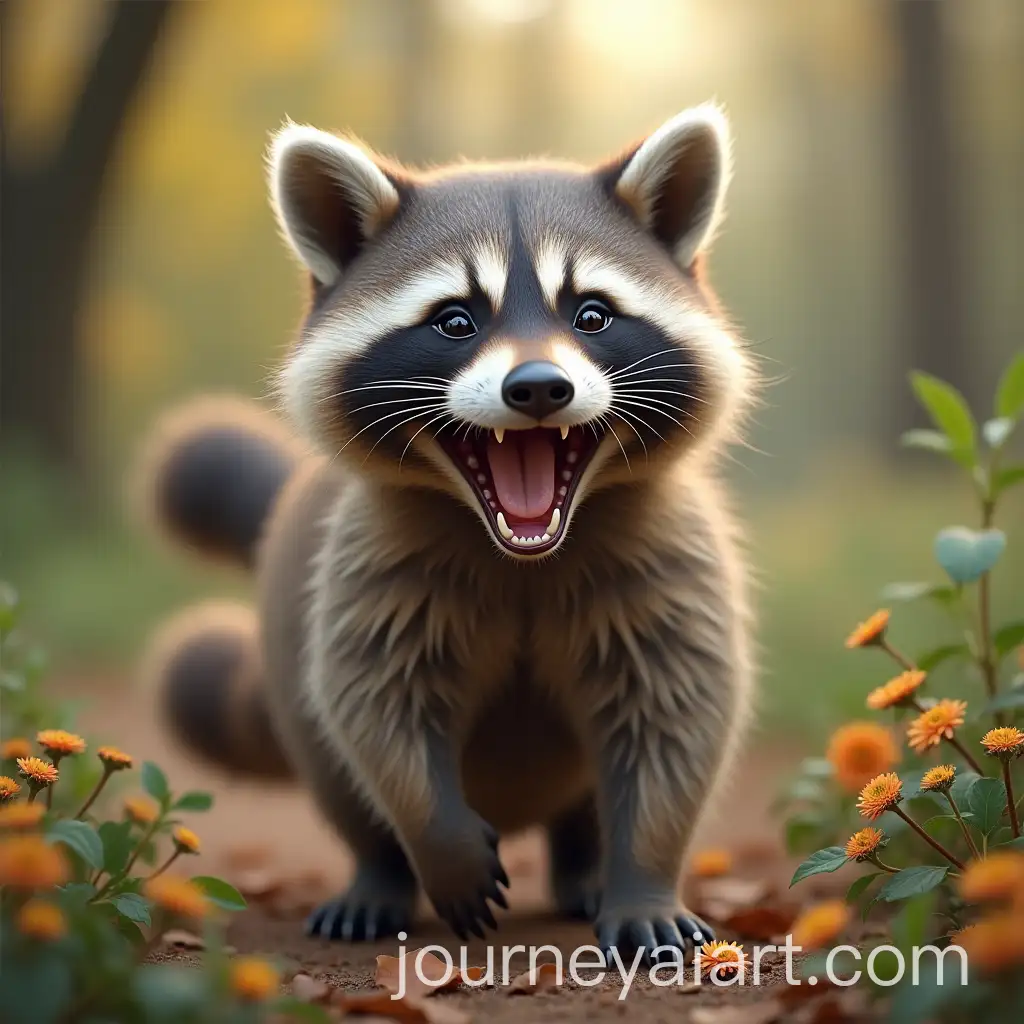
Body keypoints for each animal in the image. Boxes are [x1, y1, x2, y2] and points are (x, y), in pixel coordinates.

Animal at [140, 104, 754, 963]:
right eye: (456, 321)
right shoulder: (366, 565)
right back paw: (379, 878)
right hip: (296, 669)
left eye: (592, 315)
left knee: (586, 799)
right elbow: (378, 715)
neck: (525, 551)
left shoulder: (668, 563)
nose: (539, 387)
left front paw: (645, 881)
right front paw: (440, 843)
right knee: (345, 781)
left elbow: (673, 723)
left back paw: (587, 867)